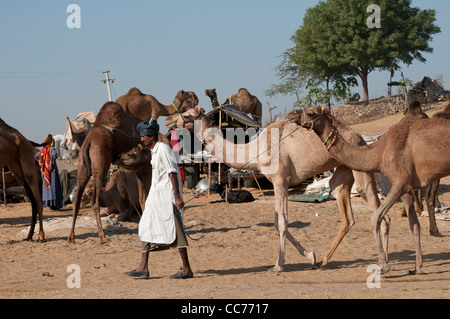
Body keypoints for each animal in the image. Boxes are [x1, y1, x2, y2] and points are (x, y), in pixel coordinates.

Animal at [68, 103, 169, 245]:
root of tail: (88, 142)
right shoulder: (147, 167)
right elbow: (146, 196)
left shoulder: (138, 168)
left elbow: (142, 198)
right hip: (100, 167)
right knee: (94, 201)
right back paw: (103, 237)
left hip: (82, 168)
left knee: (77, 200)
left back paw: (71, 237)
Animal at [167, 106, 384, 272]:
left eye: (187, 115)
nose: (168, 120)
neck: (255, 150)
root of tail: (360, 137)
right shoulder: (277, 182)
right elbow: (276, 222)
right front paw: (311, 256)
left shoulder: (280, 180)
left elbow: (282, 223)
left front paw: (279, 265)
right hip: (344, 170)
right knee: (349, 210)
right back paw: (326, 260)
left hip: (360, 167)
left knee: (376, 208)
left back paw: (383, 262)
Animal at [294, 105, 450, 276]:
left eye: (310, 113)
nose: (293, 115)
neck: (379, 152)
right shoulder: (406, 187)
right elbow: (414, 225)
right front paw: (418, 268)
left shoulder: (400, 183)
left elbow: (375, 218)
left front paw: (383, 266)